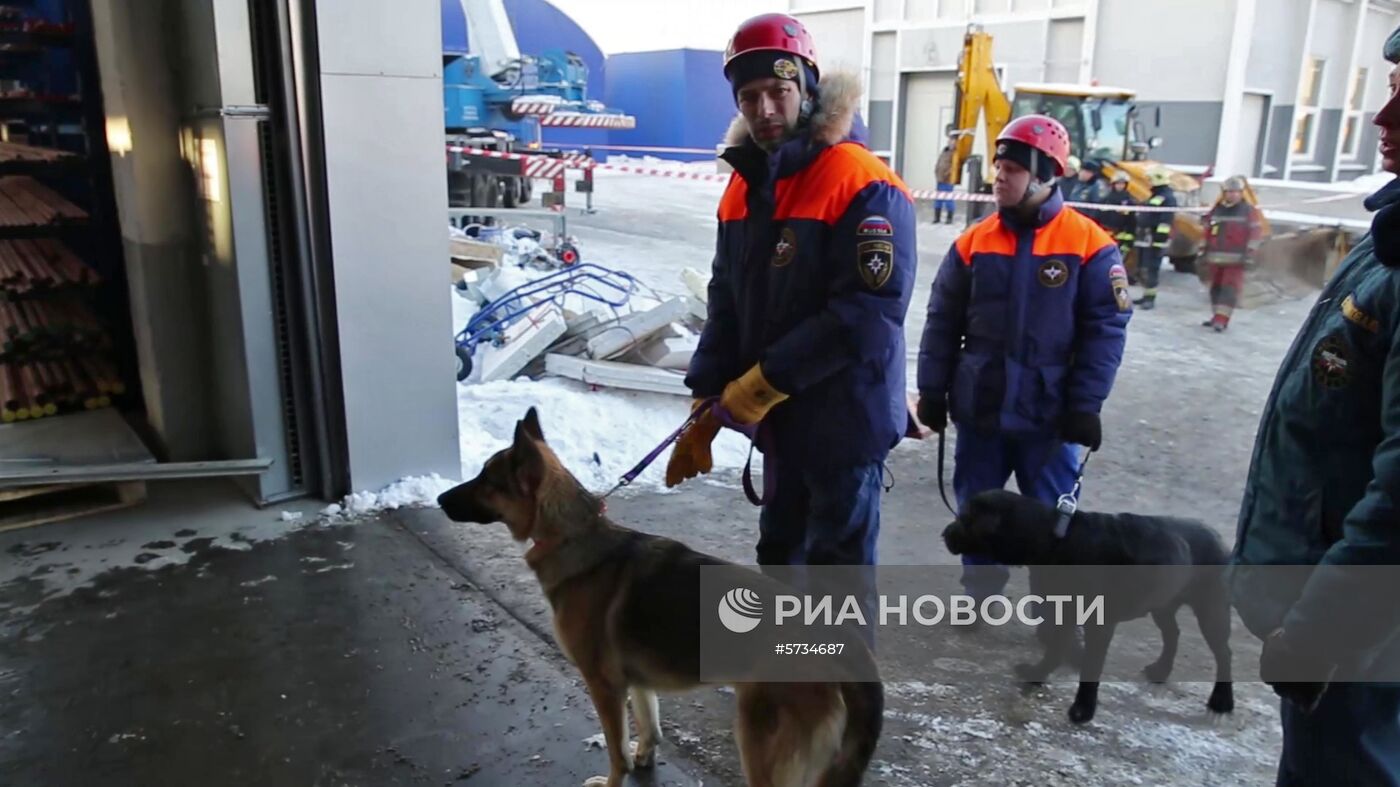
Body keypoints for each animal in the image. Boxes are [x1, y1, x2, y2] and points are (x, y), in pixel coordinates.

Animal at [436, 406, 884, 778]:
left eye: (486, 479)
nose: (439, 498)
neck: (573, 535)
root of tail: (844, 642)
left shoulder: (603, 687)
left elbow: (615, 752)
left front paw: (613, 779)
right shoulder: (636, 683)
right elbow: (649, 727)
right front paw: (644, 758)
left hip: (760, 744)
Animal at [940, 490, 1237, 722]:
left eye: (964, 519)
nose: (944, 534)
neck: (1055, 541)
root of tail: (1220, 538)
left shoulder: (1099, 623)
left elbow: (1091, 667)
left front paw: (1083, 709)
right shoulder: (1064, 611)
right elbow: (1055, 649)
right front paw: (1038, 674)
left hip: (1211, 608)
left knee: (1224, 653)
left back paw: (1221, 701)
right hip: (1163, 602)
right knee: (1172, 634)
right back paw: (1161, 670)